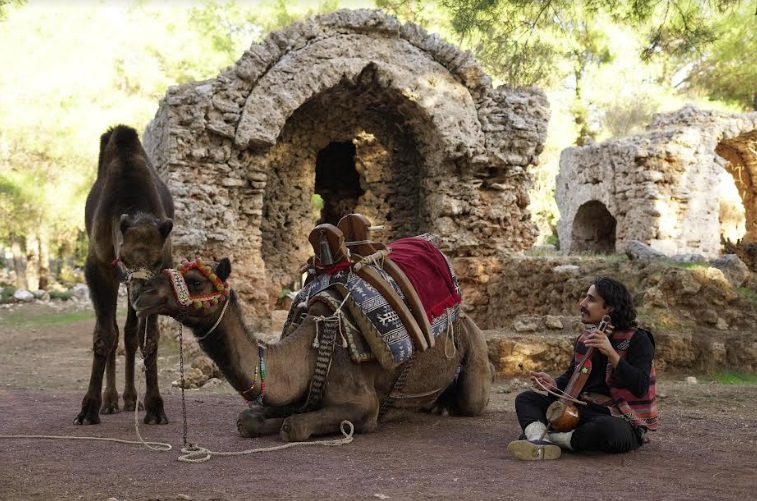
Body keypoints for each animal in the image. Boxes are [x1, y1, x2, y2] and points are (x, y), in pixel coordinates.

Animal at [74, 124, 174, 422]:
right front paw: (88, 408)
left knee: (130, 332)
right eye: (123, 257)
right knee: (116, 331)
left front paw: (155, 406)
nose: (141, 293)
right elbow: (104, 335)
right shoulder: (99, 268)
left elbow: (147, 337)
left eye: (158, 261)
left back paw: (130, 399)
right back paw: (110, 401)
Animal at [133, 229, 494, 440]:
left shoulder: (365, 407)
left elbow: (294, 427)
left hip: (476, 352)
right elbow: (248, 419)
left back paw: (444, 407)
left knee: (471, 400)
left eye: (195, 281)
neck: (309, 351)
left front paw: (286, 424)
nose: (141, 292)